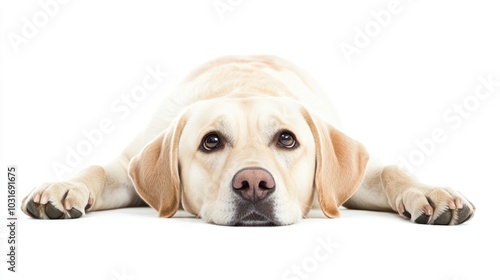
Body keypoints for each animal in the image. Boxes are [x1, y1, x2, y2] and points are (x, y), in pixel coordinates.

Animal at [19, 55, 474, 225]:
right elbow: (98, 168)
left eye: (287, 140)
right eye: (211, 142)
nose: (254, 183)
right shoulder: (129, 168)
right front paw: (64, 186)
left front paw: (429, 192)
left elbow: (392, 171)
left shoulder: (352, 180)